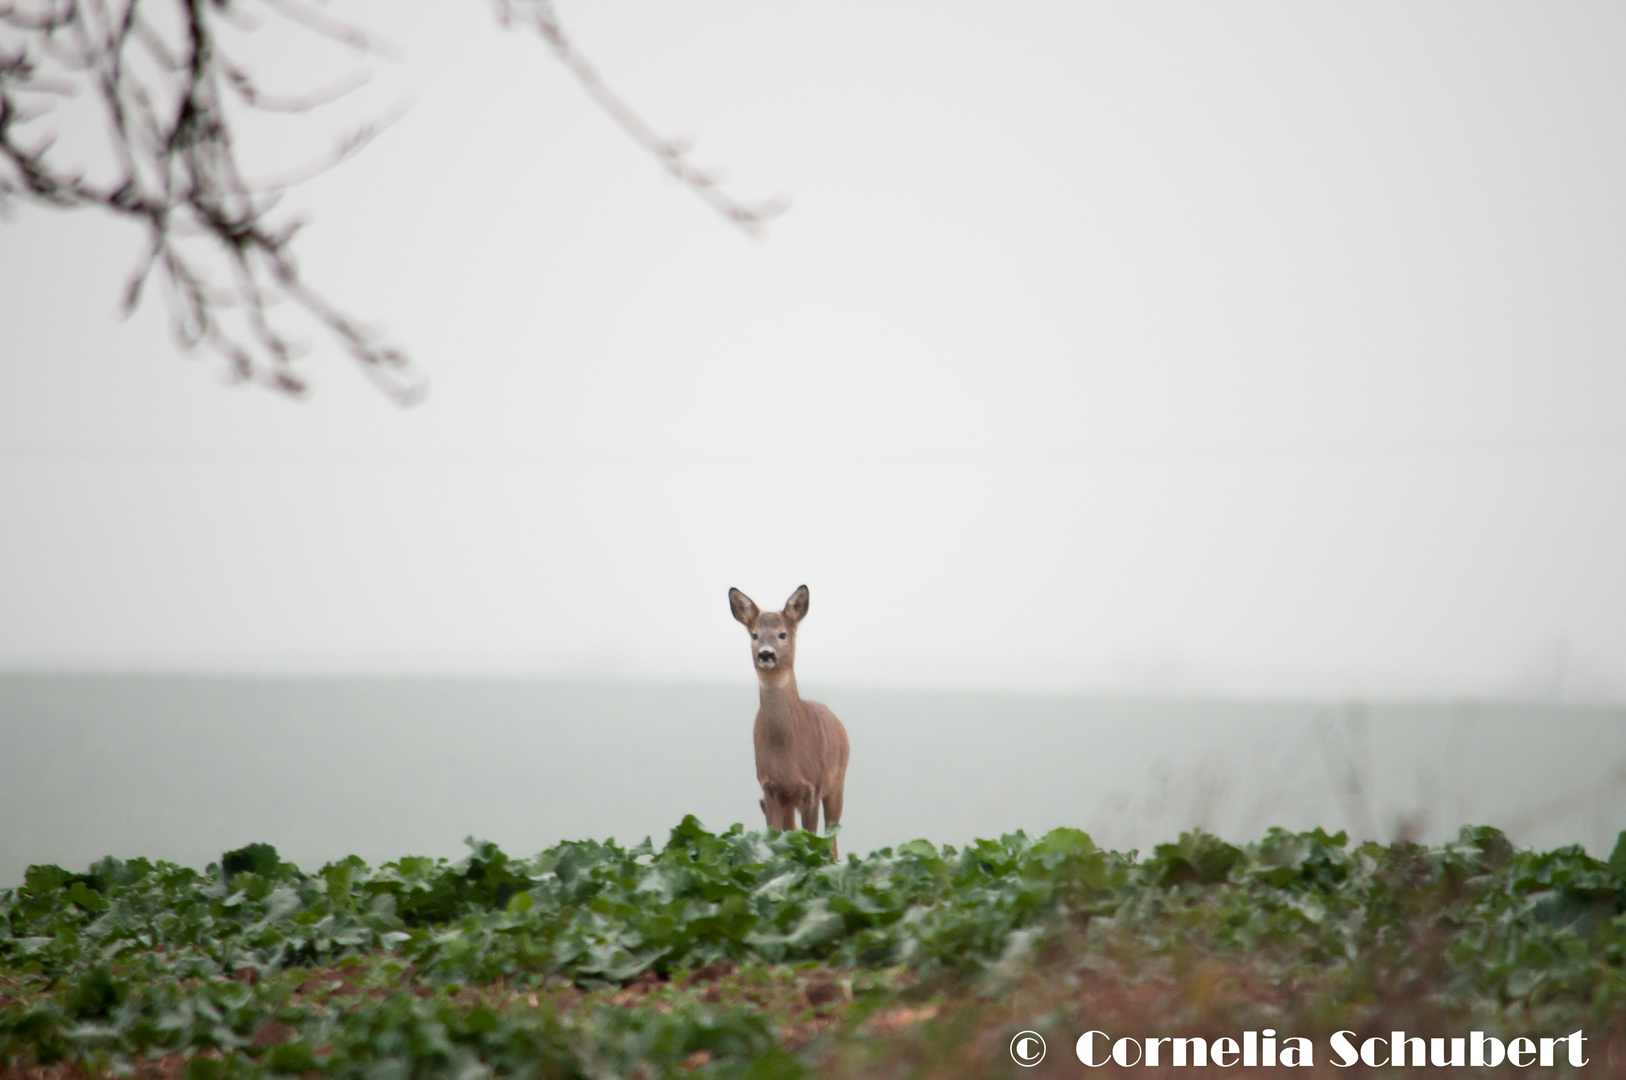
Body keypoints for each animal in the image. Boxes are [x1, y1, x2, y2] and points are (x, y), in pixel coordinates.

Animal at [728, 585, 852, 858]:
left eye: (782, 634)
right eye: (754, 635)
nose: (766, 654)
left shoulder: (812, 786)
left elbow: (812, 840)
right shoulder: (769, 787)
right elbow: (775, 842)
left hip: (837, 782)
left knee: (833, 840)